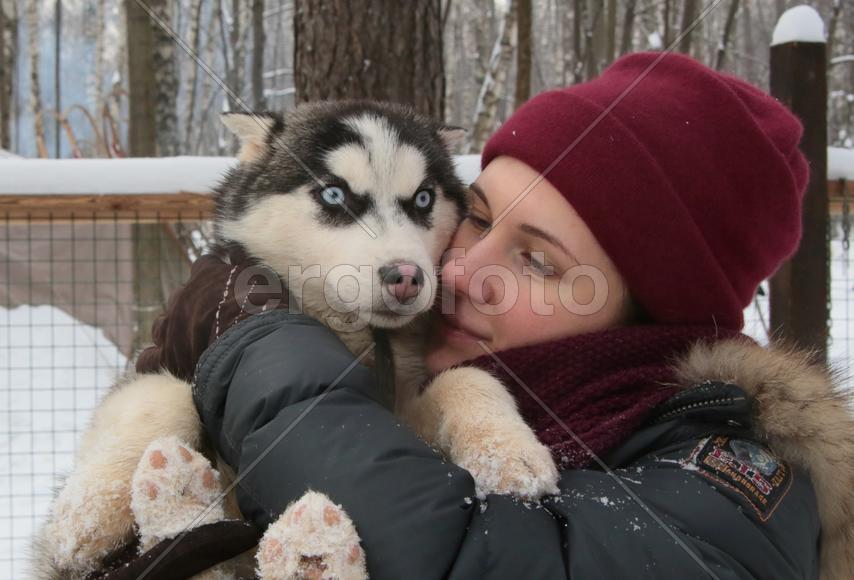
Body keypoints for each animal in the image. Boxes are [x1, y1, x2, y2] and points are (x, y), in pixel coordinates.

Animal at [33, 102, 560, 576]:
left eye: (424, 200)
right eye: (334, 195)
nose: (406, 277)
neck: (346, 332)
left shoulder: (399, 405)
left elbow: (468, 378)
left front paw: (508, 452)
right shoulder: (163, 351)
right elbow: (159, 395)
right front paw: (88, 512)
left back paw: (309, 551)